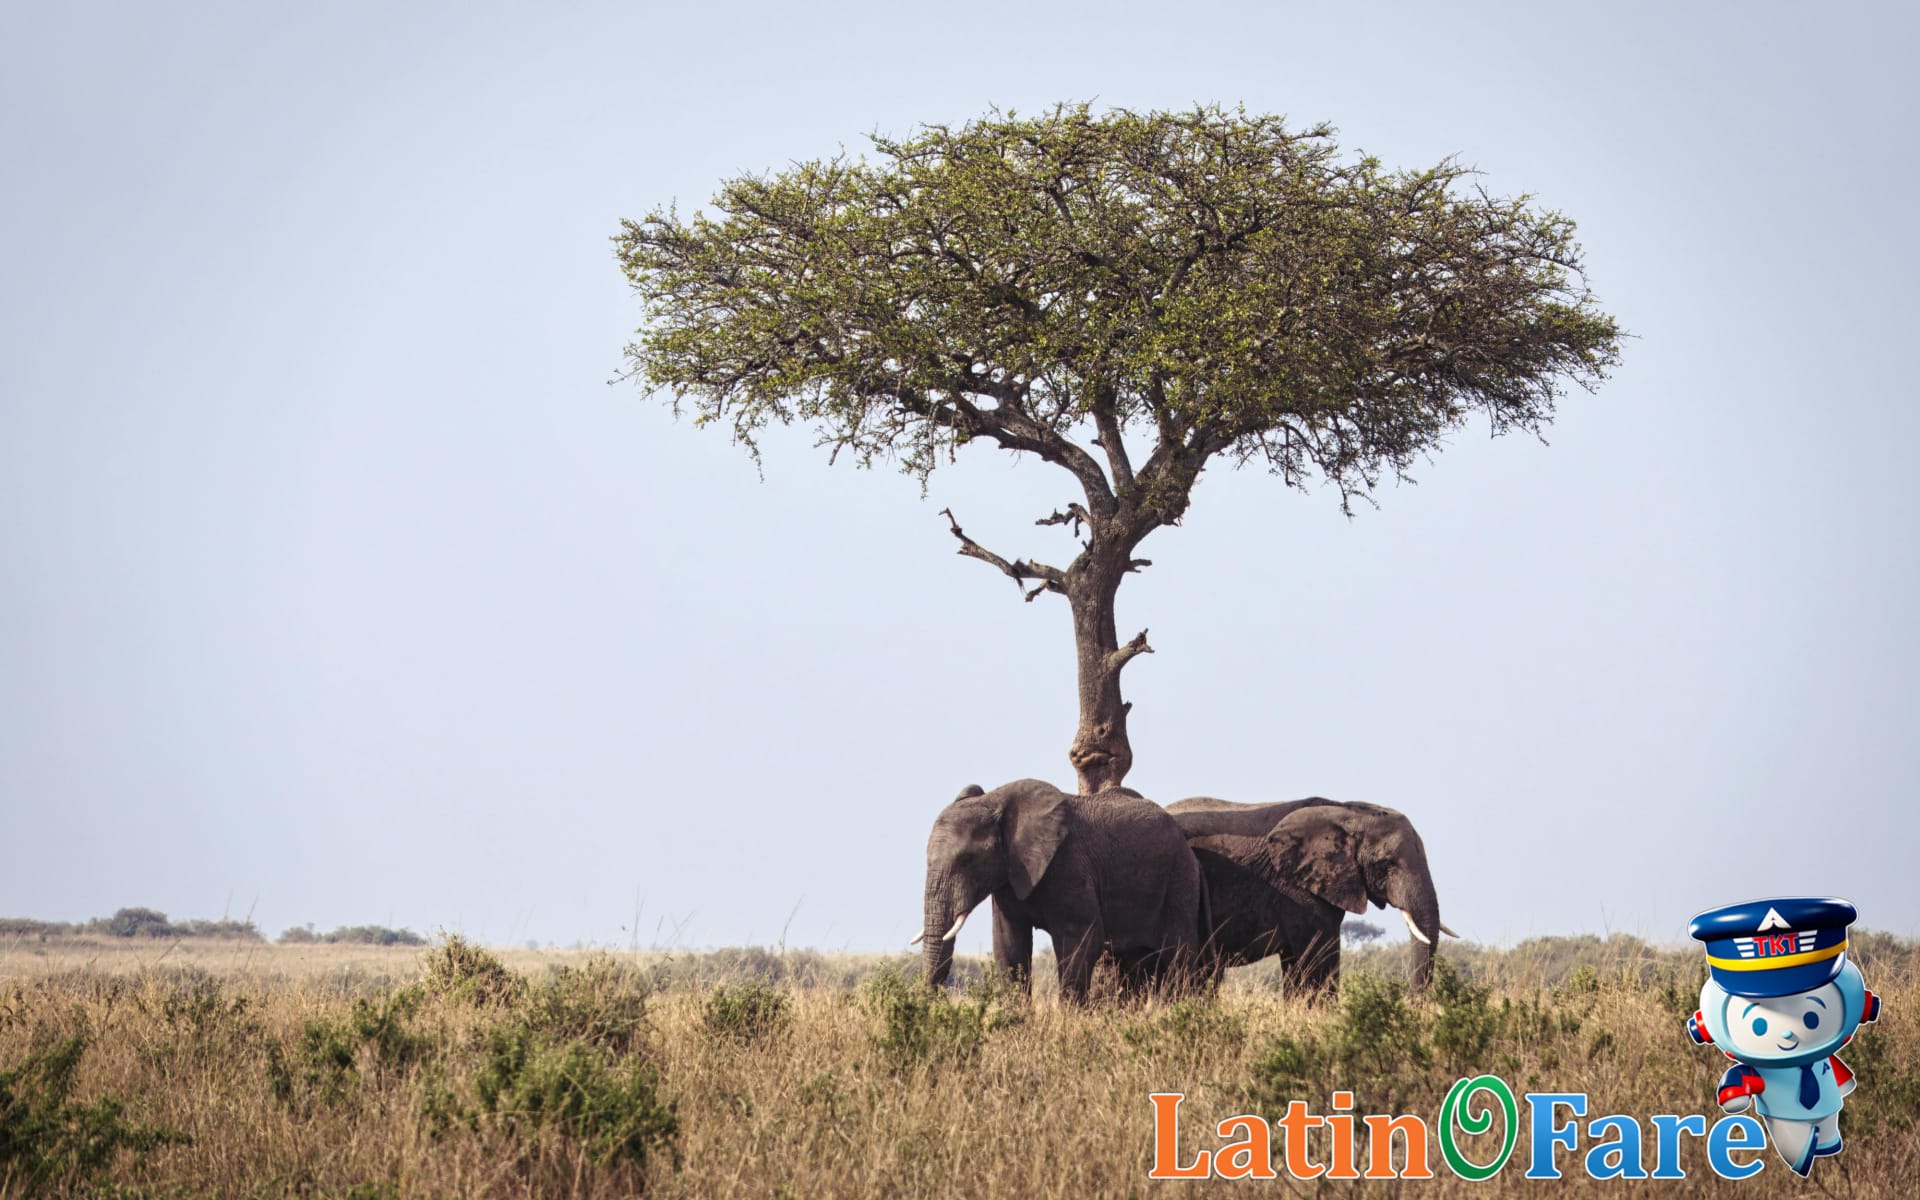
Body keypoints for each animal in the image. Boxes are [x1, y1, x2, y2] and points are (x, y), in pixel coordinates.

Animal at [917, 779, 1206, 1003]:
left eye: (967, 860)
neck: (996, 801)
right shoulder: (1008, 875)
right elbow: (1009, 943)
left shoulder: (1069, 866)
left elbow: (1083, 938)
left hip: (1180, 878)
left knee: (1177, 955)